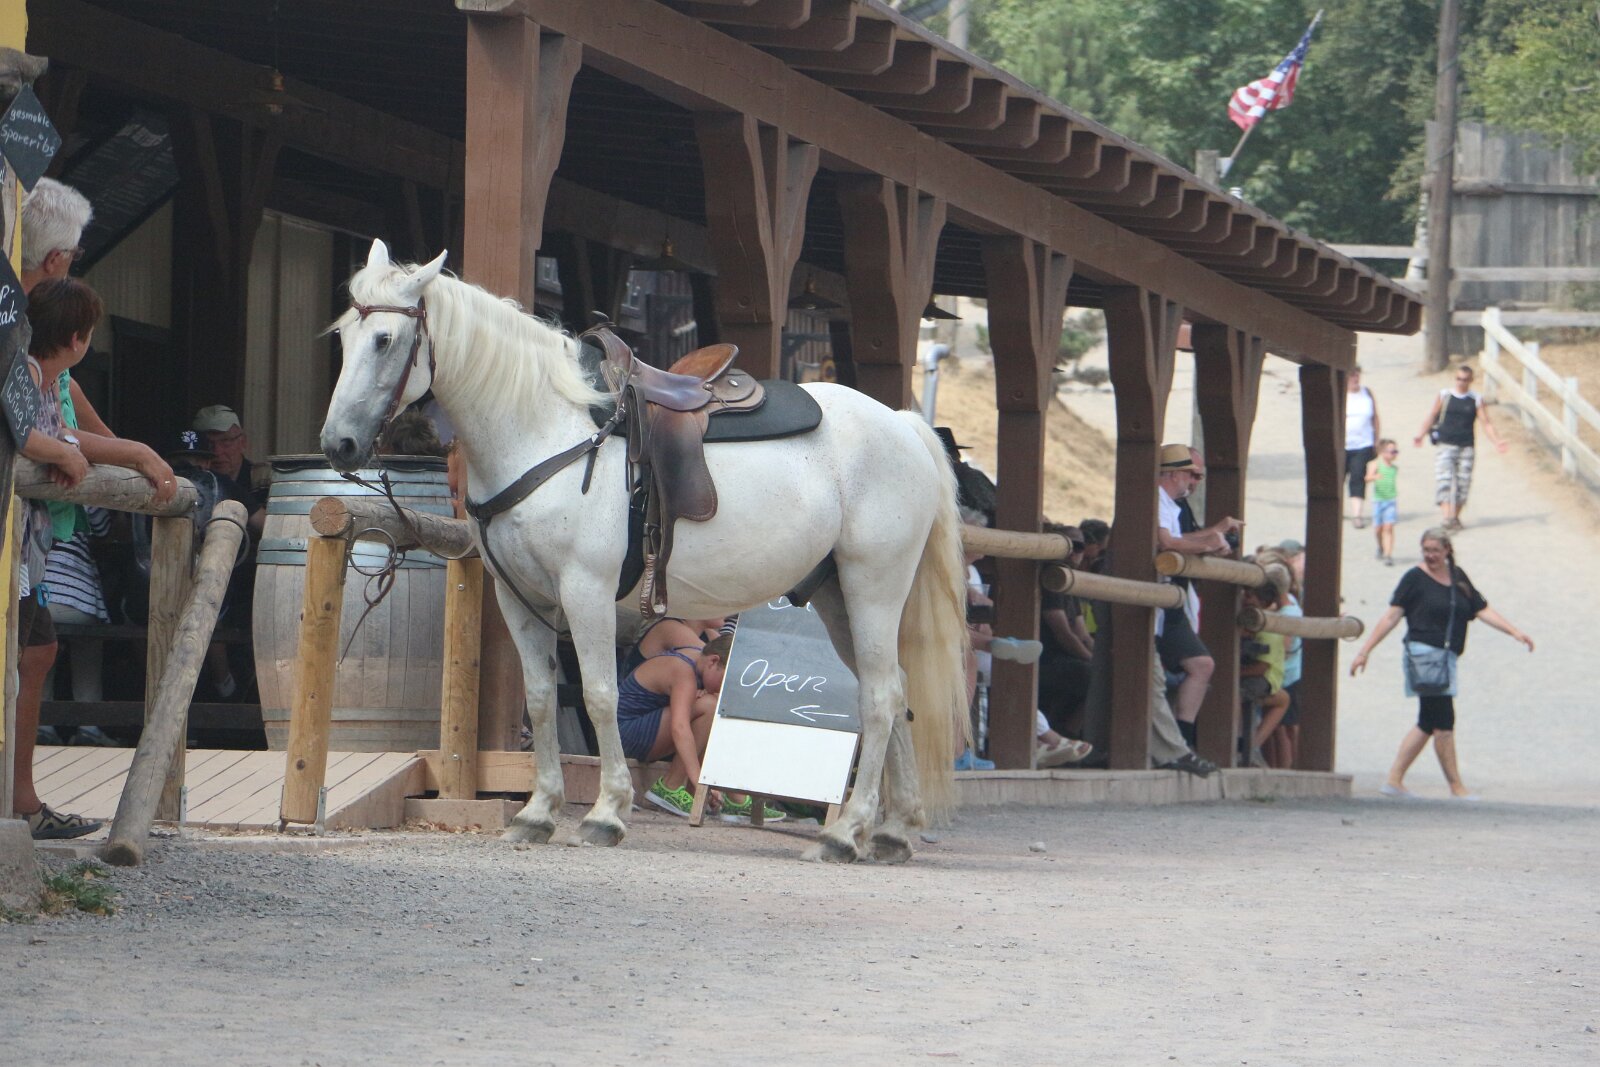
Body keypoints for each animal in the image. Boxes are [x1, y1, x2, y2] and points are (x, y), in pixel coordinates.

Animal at [320, 240, 969, 863]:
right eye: (344, 336)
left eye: (385, 340)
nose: (338, 444)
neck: (547, 429)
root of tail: (906, 426)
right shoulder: (520, 599)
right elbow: (539, 700)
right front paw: (537, 814)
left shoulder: (585, 591)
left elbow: (599, 694)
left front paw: (605, 814)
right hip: (836, 598)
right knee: (891, 690)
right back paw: (892, 832)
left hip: (873, 587)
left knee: (881, 698)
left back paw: (845, 833)